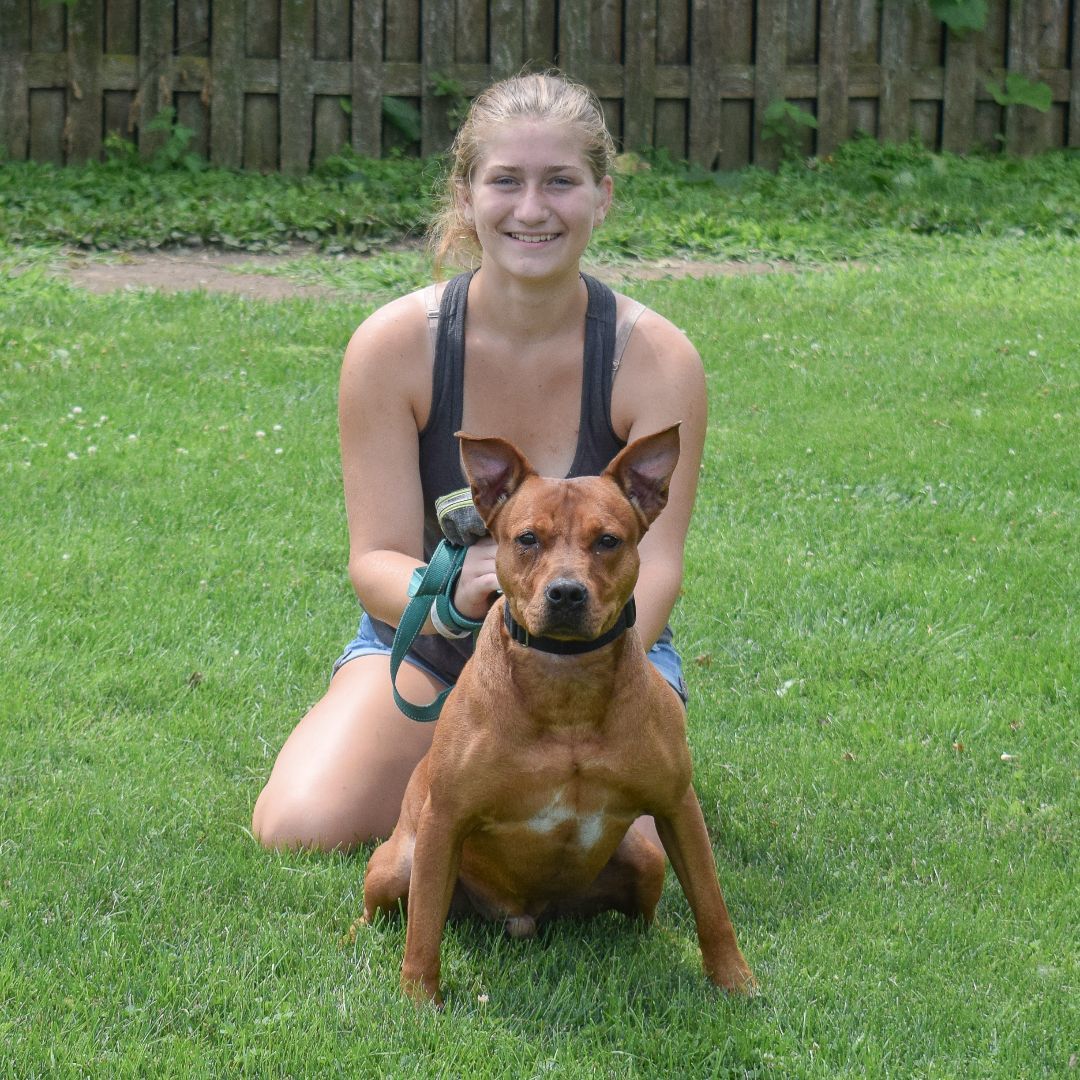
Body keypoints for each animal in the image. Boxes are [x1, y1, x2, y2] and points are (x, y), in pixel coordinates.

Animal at [358, 421, 756, 1002]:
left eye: (608, 540)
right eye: (527, 538)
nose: (566, 593)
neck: (566, 683)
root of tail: (526, 917)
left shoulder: (678, 808)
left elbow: (711, 902)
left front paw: (734, 980)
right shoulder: (445, 819)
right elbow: (425, 926)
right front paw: (418, 998)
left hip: (646, 857)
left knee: (645, 917)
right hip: (397, 865)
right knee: (383, 911)